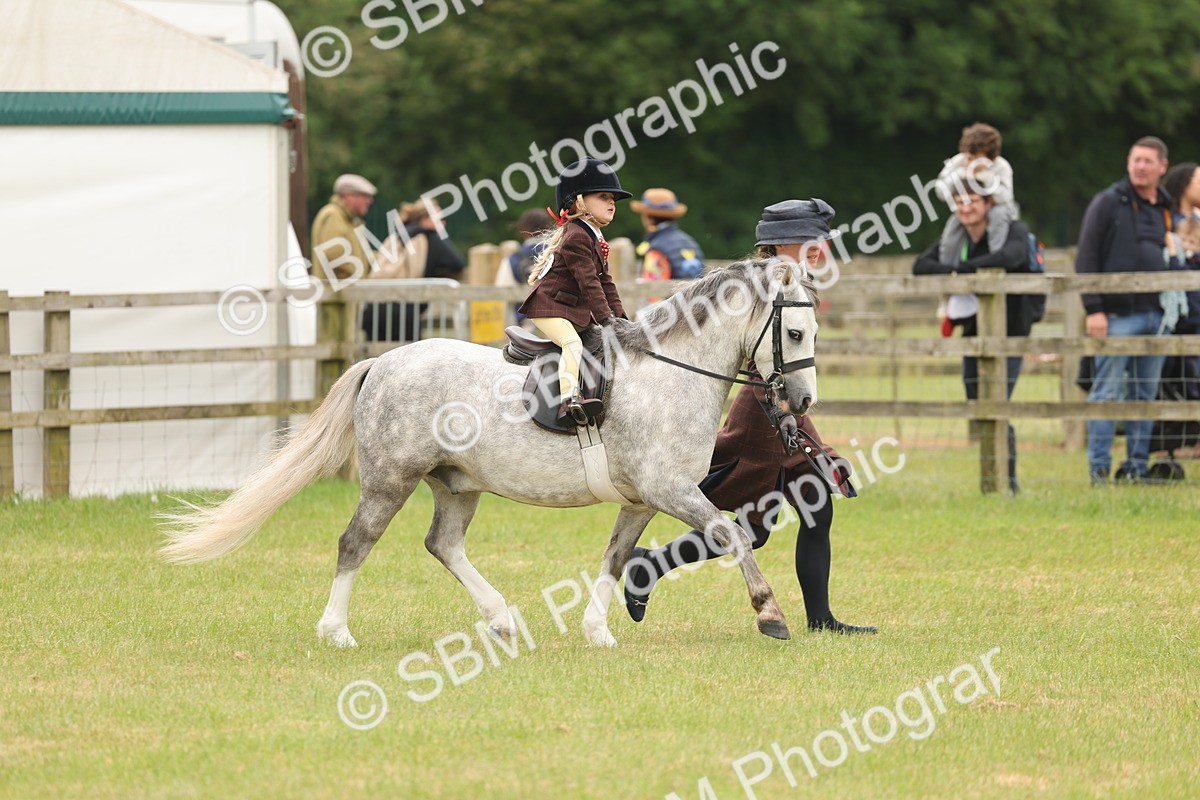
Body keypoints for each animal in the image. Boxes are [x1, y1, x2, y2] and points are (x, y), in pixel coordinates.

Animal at [161, 258, 820, 648]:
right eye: (793, 332)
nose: (804, 400)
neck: (670, 374)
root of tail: (384, 361)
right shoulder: (672, 490)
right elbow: (732, 537)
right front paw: (771, 616)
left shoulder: (642, 500)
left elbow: (613, 557)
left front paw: (597, 630)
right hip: (391, 479)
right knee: (356, 543)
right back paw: (336, 631)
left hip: (457, 483)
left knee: (443, 544)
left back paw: (501, 619)